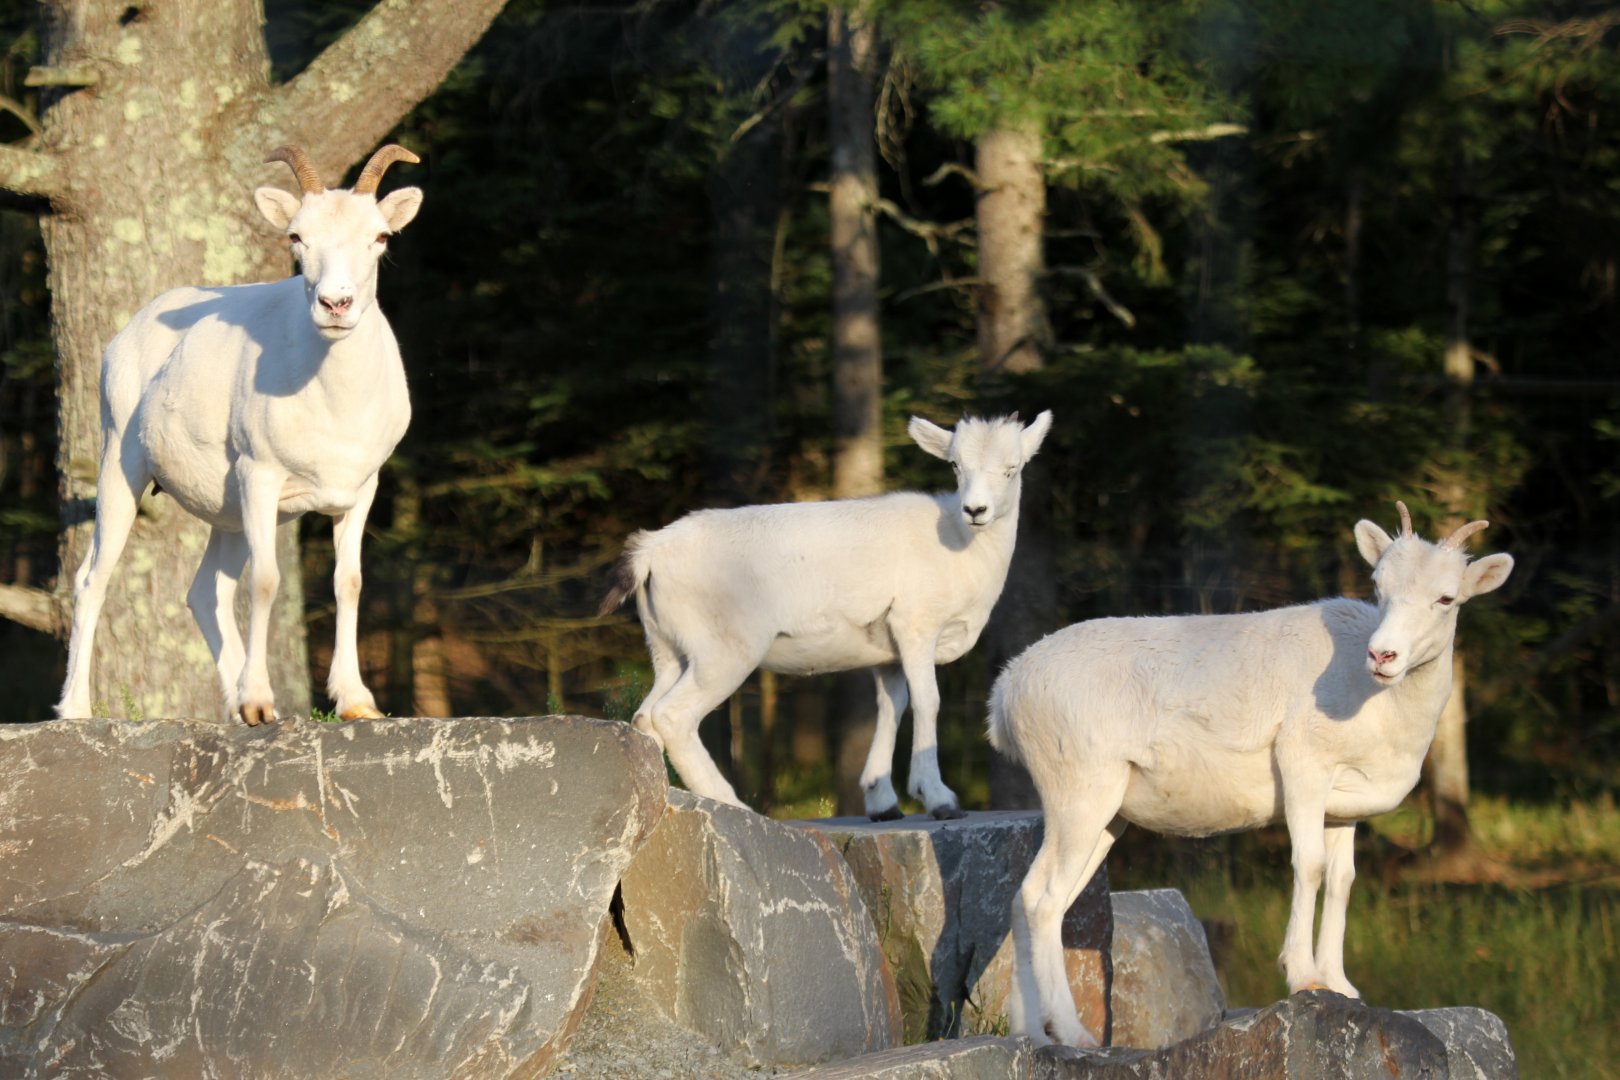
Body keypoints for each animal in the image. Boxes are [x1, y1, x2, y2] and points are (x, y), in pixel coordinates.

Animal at [56, 144, 422, 726]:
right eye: (297, 236)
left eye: (381, 236)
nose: (335, 305)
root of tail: (127, 335)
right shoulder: (261, 477)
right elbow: (266, 581)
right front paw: (259, 700)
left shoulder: (359, 491)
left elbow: (349, 582)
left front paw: (356, 703)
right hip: (122, 470)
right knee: (92, 578)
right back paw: (75, 709)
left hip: (225, 515)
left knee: (205, 593)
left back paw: (235, 711)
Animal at [599, 411, 1054, 819]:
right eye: (956, 465)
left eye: (1012, 468)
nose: (975, 510)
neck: (962, 548)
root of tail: (651, 551)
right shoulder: (916, 627)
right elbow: (928, 701)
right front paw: (939, 799)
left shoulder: (888, 654)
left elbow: (892, 706)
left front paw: (883, 804)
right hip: (722, 654)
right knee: (672, 716)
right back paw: (731, 804)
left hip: (669, 651)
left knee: (645, 716)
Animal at [988, 502, 1514, 1047]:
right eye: (1379, 587)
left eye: (1446, 597)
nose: (1383, 655)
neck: (1377, 702)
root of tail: (1007, 691)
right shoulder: (1303, 769)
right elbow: (1309, 866)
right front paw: (1303, 976)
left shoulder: (1342, 811)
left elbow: (1342, 879)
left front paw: (1341, 984)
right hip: (1079, 797)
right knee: (1045, 901)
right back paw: (1073, 1034)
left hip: (1104, 819)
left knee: (1027, 899)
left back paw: (1031, 1032)